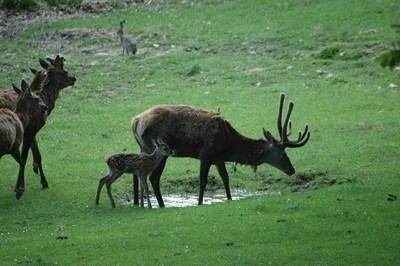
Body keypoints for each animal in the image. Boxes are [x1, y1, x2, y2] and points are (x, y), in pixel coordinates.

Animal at [131, 93, 310, 208]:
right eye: (282, 152)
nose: (292, 169)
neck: (229, 146)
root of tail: (135, 121)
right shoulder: (206, 154)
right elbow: (202, 181)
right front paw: (200, 203)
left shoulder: (219, 159)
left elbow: (226, 179)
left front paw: (230, 199)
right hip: (159, 150)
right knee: (153, 178)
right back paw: (161, 205)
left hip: (143, 147)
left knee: (137, 175)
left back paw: (138, 203)